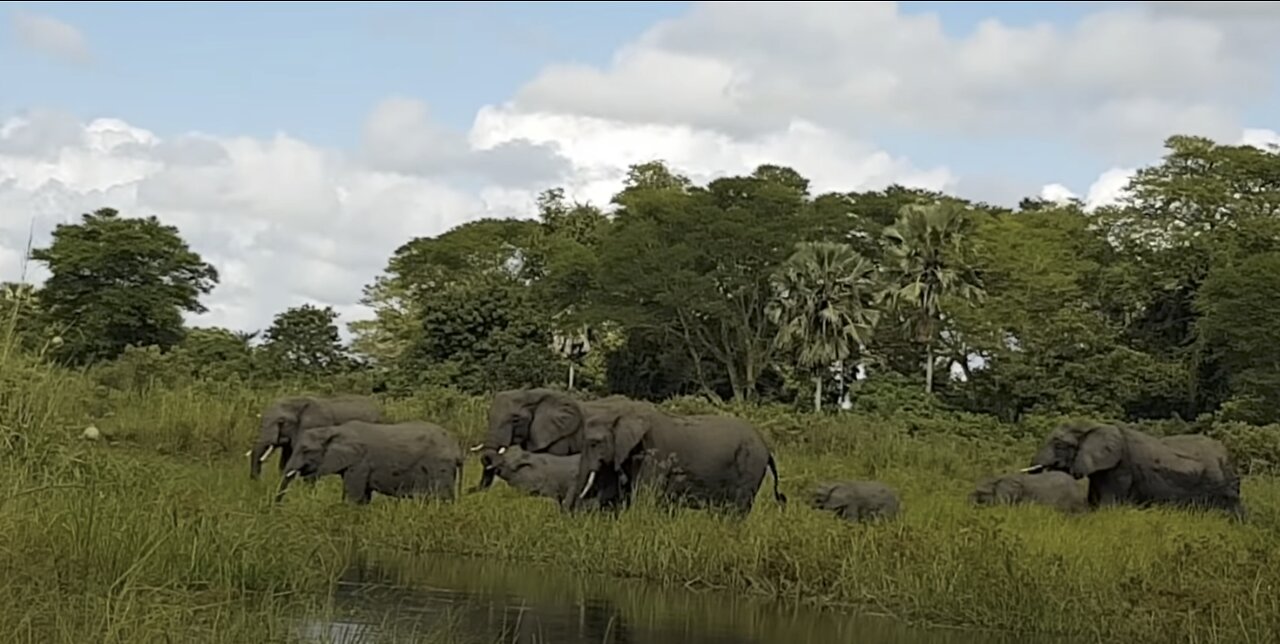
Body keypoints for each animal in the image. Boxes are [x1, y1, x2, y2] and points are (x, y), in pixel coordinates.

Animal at [272, 419, 463, 507]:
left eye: (306, 450)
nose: (277, 507)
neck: (335, 430)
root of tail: (457, 450)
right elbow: (363, 498)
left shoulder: (360, 463)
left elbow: (353, 497)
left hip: (440, 467)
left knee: (442, 499)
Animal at [565, 402, 783, 517]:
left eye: (594, 443)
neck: (623, 411)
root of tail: (766, 447)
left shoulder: (656, 454)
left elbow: (644, 496)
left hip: (750, 465)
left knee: (737, 508)